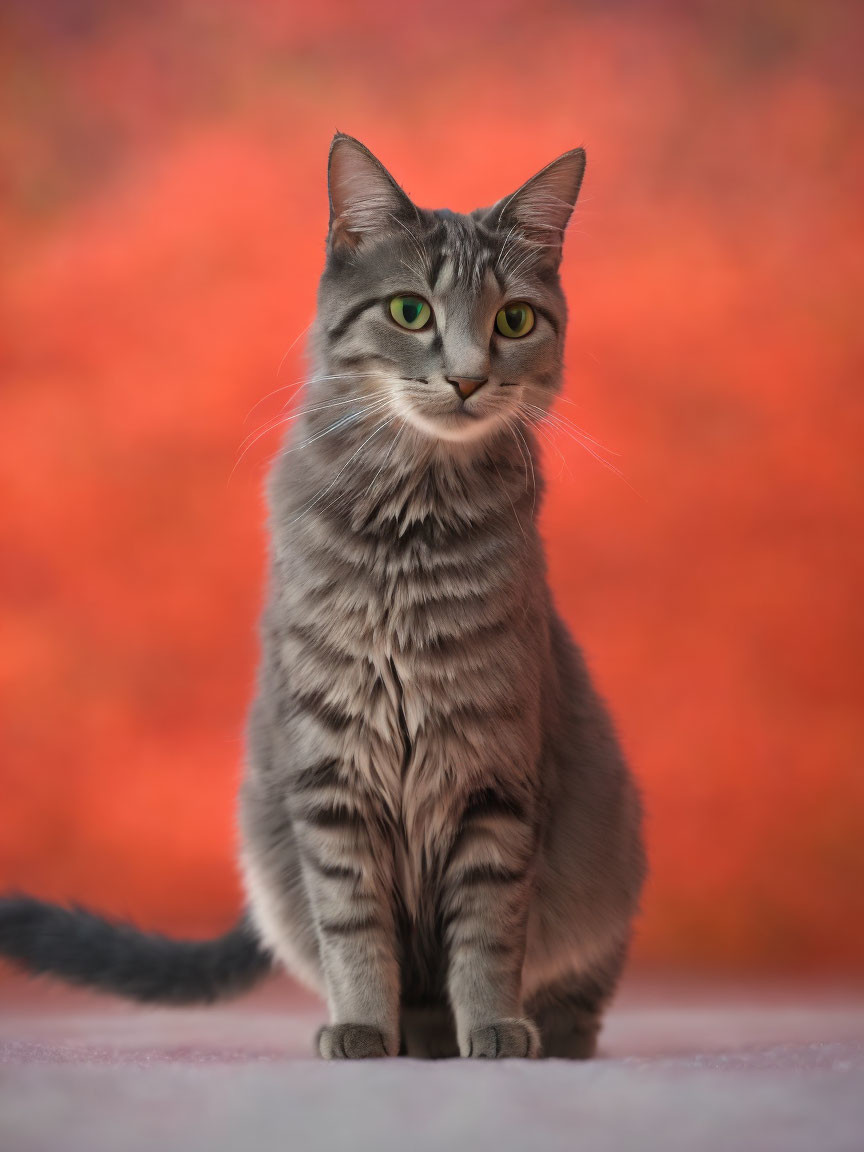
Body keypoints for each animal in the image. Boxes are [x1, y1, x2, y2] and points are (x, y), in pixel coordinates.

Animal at [0, 134, 645, 1059]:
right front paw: (362, 1028)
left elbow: (489, 932)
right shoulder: (330, 770)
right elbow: (354, 928)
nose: (466, 379)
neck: (409, 529)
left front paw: (493, 1026)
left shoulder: (493, 775)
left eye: (515, 321)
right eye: (410, 311)